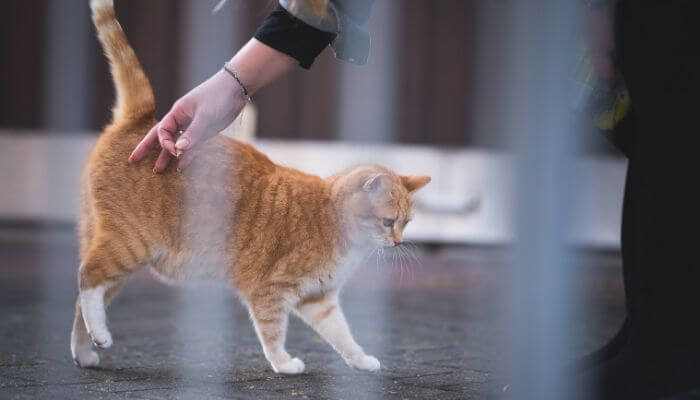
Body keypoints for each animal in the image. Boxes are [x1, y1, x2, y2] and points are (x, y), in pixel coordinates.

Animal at [74, 0, 430, 376]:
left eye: (406, 224)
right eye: (389, 222)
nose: (399, 243)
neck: (334, 220)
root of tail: (142, 121)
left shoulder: (319, 300)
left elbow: (342, 334)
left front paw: (361, 360)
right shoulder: (270, 290)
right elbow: (272, 331)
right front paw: (284, 363)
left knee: (82, 302)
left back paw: (86, 350)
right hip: (130, 245)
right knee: (86, 276)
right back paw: (100, 333)